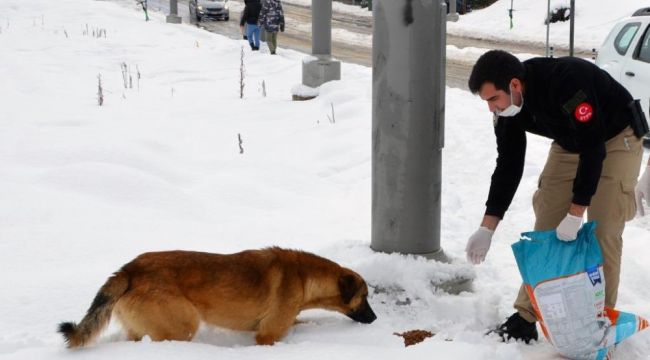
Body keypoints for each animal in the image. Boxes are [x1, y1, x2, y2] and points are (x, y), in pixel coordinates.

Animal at [62, 246, 374, 348]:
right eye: (365, 297)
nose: (374, 319)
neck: (304, 277)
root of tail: (129, 269)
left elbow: (305, 322)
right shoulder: (267, 335)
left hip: (140, 329)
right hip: (183, 325)